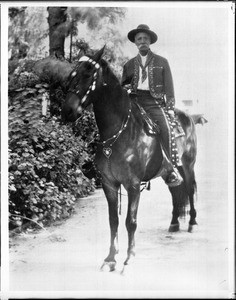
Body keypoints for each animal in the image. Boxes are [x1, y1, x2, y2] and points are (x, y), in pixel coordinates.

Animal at [61, 47, 198, 272]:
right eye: (72, 75)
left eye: (88, 74)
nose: (67, 111)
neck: (119, 131)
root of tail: (188, 117)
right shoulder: (109, 183)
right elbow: (113, 221)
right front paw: (110, 258)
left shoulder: (132, 184)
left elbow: (130, 221)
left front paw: (130, 257)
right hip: (168, 172)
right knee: (175, 191)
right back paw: (174, 222)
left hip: (187, 166)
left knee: (190, 189)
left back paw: (193, 223)